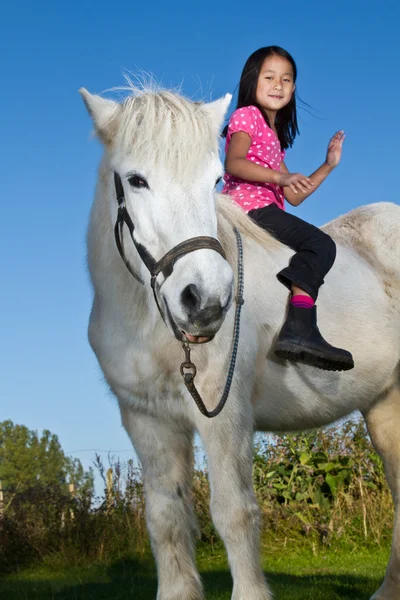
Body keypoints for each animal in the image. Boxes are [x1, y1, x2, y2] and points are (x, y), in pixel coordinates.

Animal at [79, 85, 400, 600]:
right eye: (136, 180)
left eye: (213, 180)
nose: (207, 300)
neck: (145, 321)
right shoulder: (146, 420)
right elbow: (166, 519)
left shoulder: (225, 415)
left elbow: (235, 512)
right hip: (384, 402)